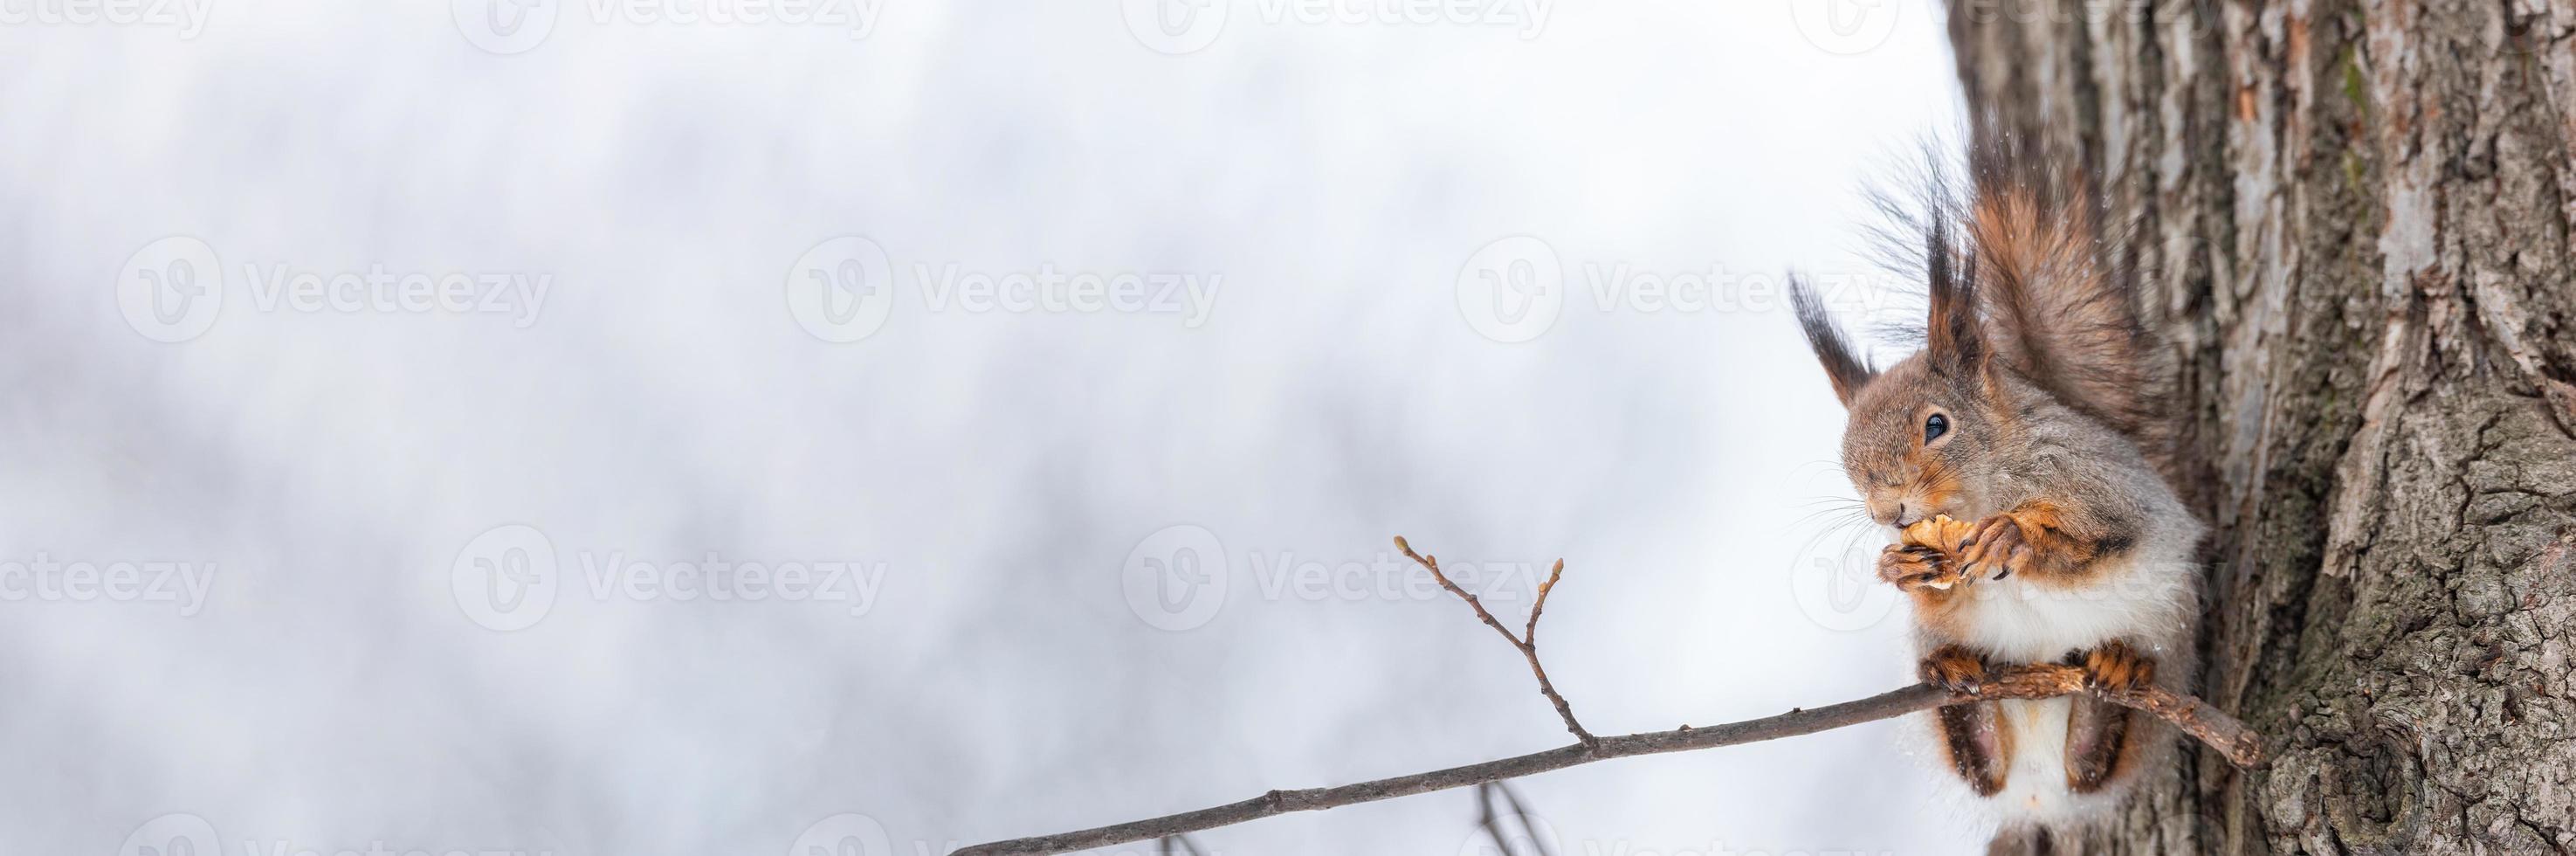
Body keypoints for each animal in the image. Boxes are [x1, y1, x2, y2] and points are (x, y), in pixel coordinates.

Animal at [1787, 145, 2205, 830]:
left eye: (1937, 425)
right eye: (1846, 454)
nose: (1887, 512)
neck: (1984, 489)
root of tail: (2039, 794)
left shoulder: (2099, 483)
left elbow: (2095, 535)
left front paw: (2012, 537)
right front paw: (1901, 566)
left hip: (2170, 631)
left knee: (2097, 765)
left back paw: (2118, 673)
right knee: (1982, 769)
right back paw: (1956, 681)